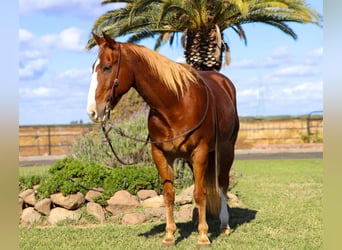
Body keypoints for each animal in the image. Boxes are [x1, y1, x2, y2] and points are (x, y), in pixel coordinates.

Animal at [87, 32, 239, 246]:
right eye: (93, 67)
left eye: (107, 67)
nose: (93, 111)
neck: (175, 104)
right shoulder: (161, 154)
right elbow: (169, 195)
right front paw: (169, 235)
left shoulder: (200, 152)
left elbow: (200, 193)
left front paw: (203, 237)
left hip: (226, 150)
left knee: (222, 183)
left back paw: (224, 224)